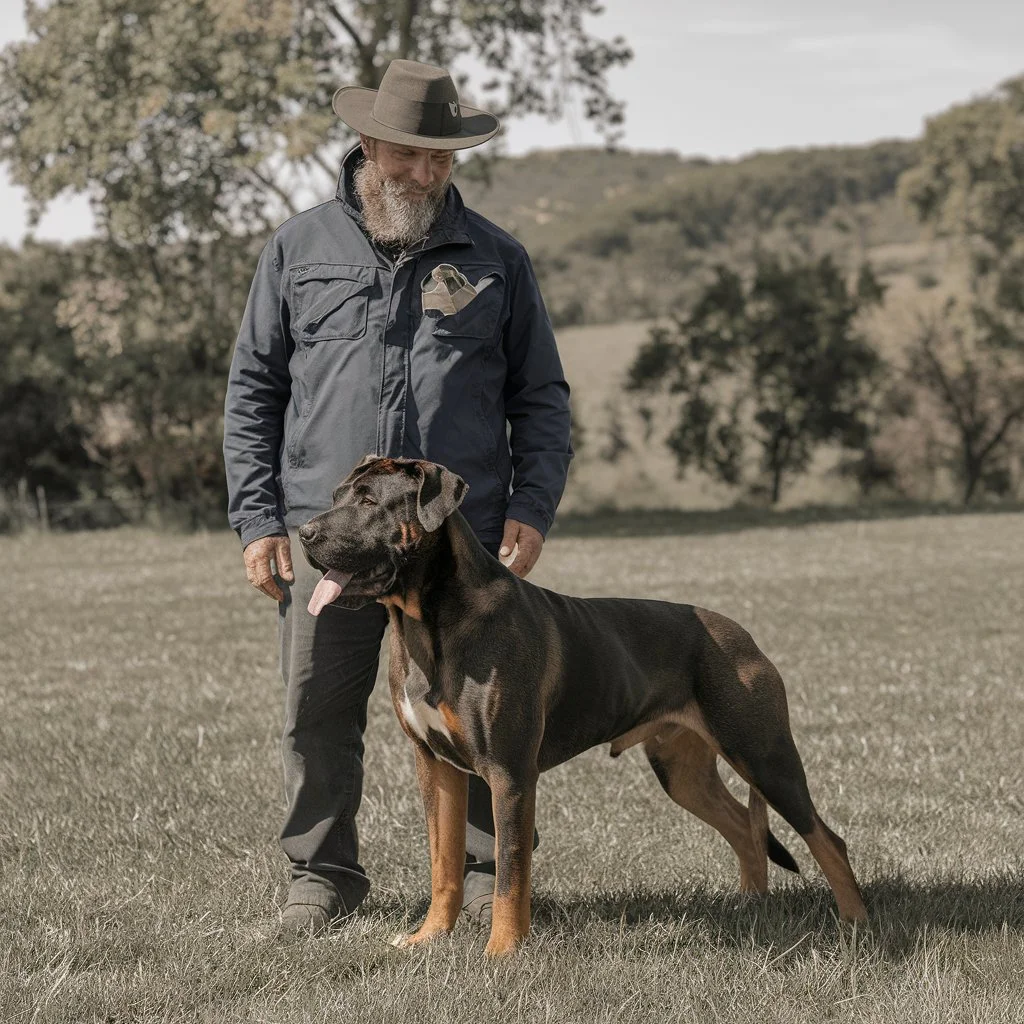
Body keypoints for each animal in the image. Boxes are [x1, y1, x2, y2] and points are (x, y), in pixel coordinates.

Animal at [299, 460, 868, 954]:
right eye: (336, 496)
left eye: (369, 501)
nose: (304, 533)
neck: (427, 621)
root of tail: (743, 636)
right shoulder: (436, 766)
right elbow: (443, 864)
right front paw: (429, 938)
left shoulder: (510, 773)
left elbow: (509, 873)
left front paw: (501, 953)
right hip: (682, 770)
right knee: (743, 826)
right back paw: (752, 904)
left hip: (763, 754)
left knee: (827, 839)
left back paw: (856, 925)